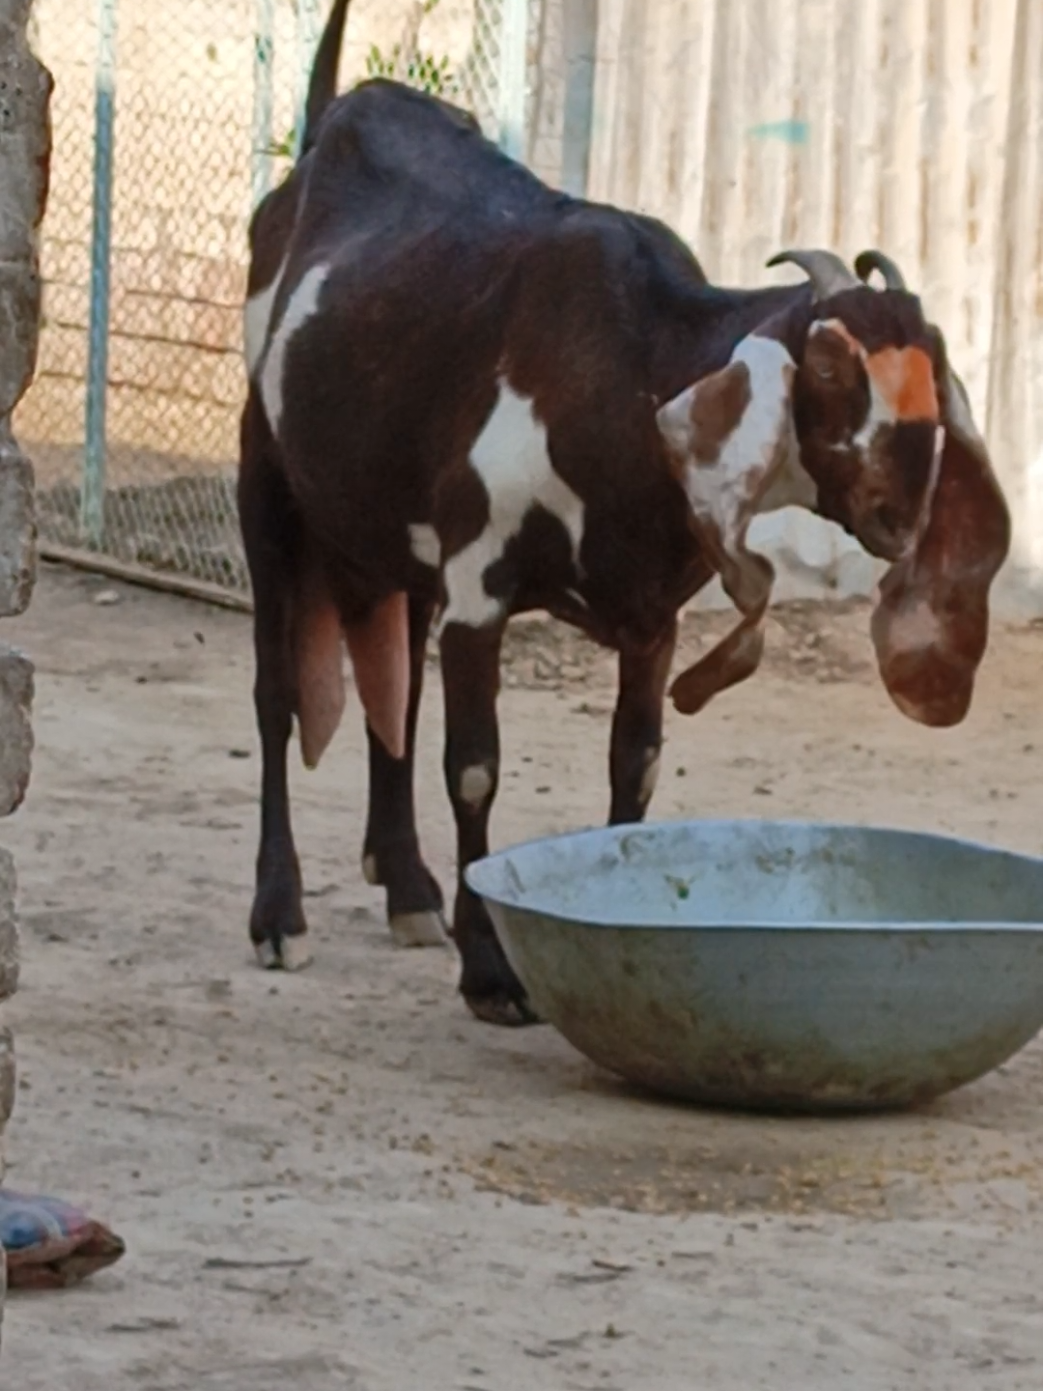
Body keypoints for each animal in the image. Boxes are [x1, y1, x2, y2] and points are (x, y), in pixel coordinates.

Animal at [238, 0, 1010, 1025]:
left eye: (934, 366)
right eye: (828, 362)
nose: (899, 508)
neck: (629, 372)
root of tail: (331, 122)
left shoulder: (650, 618)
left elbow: (634, 764)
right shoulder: (479, 585)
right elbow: (474, 766)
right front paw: (491, 975)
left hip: (392, 537)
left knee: (389, 689)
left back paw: (407, 888)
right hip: (267, 479)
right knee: (277, 696)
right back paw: (278, 914)